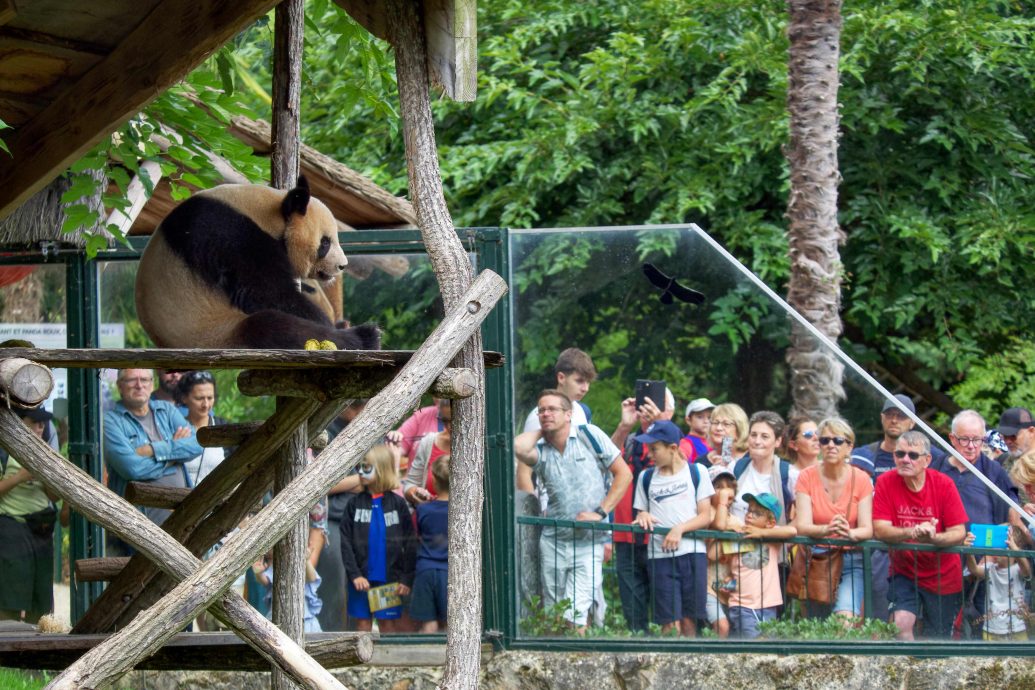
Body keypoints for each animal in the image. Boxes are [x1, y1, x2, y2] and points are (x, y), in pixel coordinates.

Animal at [136, 175, 380, 353]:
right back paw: (365, 337)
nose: (342, 266)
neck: (267, 213)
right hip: (211, 332)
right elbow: (266, 293)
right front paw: (327, 322)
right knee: (272, 327)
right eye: (326, 243)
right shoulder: (231, 235)